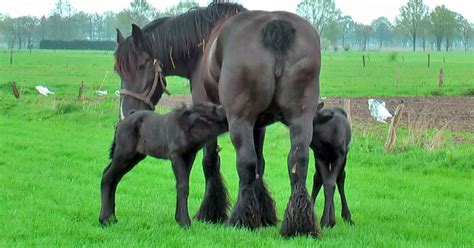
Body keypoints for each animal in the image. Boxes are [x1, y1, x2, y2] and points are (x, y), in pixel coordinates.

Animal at [98, 103, 228, 228]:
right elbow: (183, 186)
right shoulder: (176, 155)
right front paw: (185, 222)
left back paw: (112, 218)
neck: (187, 126)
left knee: (113, 177)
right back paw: (104, 220)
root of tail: (123, 121)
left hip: (134, 157)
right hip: (124, 153)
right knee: (108, 177)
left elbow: (182, 184)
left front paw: (179, 219)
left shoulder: (189, 156)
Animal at [111, 1, 322, 236]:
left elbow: (211, 161)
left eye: (140, 66)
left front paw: (211, 211)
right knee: (298, 162)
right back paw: (299, 225)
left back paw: (240, 219)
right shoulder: (260, 124)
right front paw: (264, 213)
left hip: (240, 120)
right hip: (300, 119)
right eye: (119, 70)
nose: (126, 113)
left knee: (246, 164)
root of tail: (276, 27)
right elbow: (261, 163)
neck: (201, 47)